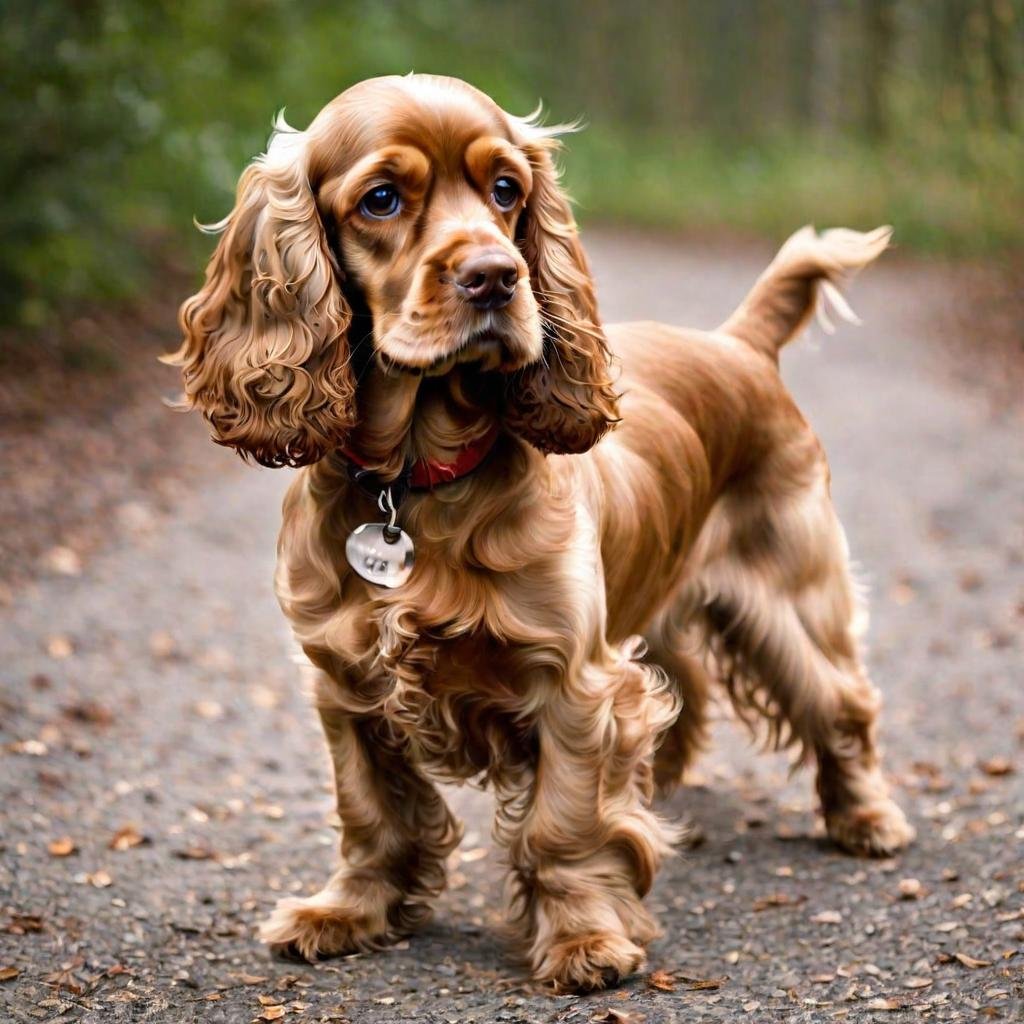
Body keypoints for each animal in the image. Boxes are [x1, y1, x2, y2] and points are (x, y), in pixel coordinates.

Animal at [167, 74, 913, 991]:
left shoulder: (572, 681)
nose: (497, 275)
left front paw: (584, 940)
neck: (416, 482)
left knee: (841, 700)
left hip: (788, 595)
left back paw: (865, 817)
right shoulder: (345, 682)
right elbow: (370, 812)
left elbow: (563, 824)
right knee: (691, 686)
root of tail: (739, 343)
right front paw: (349, 913)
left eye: (505, 190)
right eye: (381, 199)